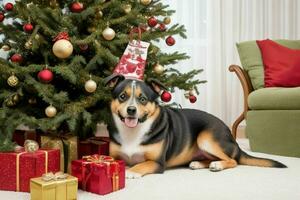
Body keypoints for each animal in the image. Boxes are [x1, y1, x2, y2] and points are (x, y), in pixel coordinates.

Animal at [104, 74, 288, 178]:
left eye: (142, 99)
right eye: (122, 96)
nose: (131, 110)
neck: (133, 131)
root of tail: (233, 139)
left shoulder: (157, 162)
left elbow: (141, 164)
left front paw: (131, 171)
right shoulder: (114, 156)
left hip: (206, 139)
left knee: (232, 160)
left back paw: (217, 165)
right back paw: (199, 163)